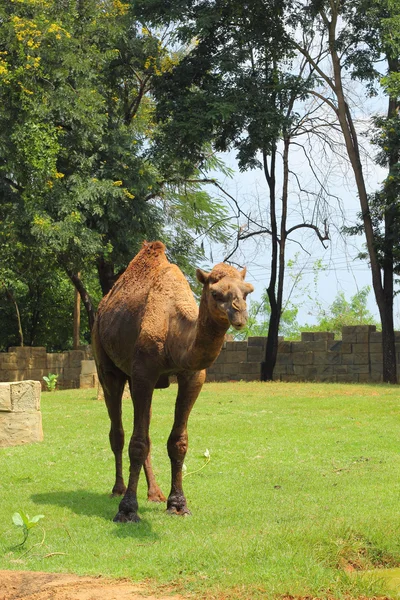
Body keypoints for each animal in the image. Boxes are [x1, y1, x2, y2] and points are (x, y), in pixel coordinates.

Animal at [92, 241, 253, 524]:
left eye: (247, 292)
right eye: (215, 293)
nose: (239, 315)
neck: (172, 329)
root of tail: (102, 306)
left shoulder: (193, 376)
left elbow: (177, 442)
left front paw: (177, 504)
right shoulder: (143, 373)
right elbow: (137, 443)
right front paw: (127, 510)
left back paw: (154, 493)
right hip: (105, 363)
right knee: (119, 432)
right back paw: (118, 489)